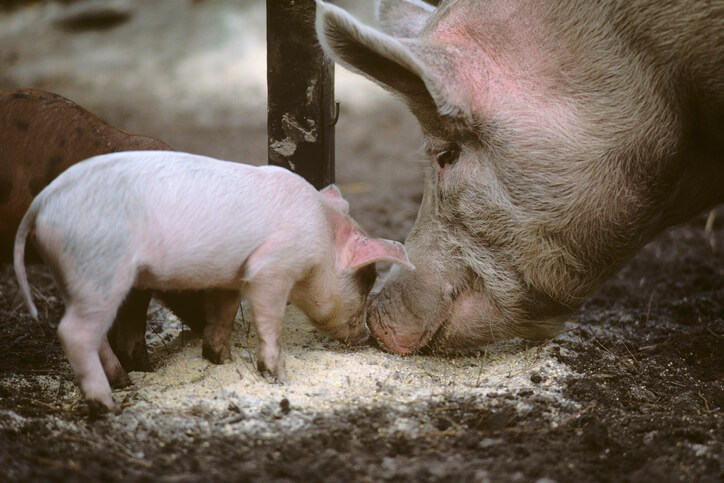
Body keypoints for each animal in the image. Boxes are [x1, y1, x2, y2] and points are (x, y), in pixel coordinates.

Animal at [15, 152, 412, 416]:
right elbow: (269, 319)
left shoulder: (231, 275)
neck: (322, 237)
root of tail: (42, 203)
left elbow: (223, 313)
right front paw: (279, 377)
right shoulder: (271, 267)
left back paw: (124, 382)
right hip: (99, 267)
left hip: (77, 278)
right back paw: (109, 405)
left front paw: (220, 359)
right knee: (73, 332)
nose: (364, 336)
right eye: (365, 281)